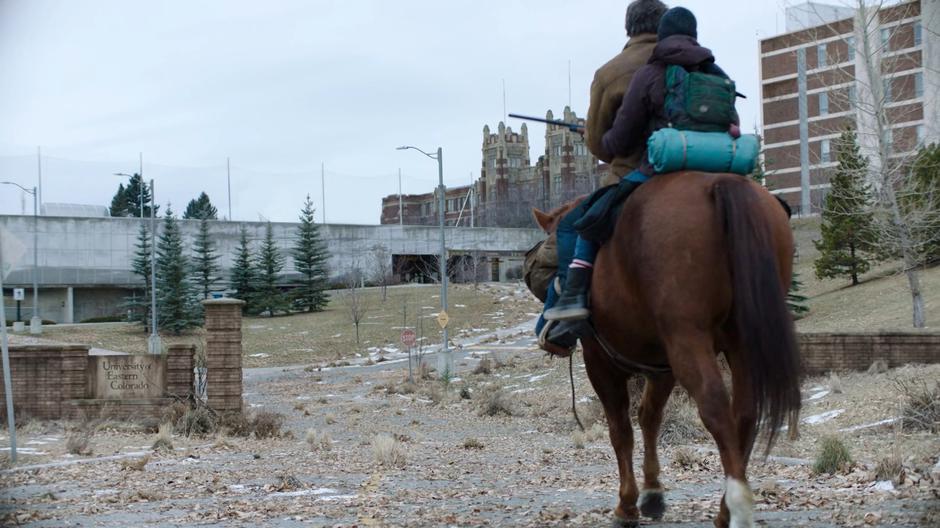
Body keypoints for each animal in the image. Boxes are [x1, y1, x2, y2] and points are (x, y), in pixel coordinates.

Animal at [536, 171, 800, 528]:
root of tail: (719, 183)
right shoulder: (661, 368)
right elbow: (650, 418)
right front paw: (652, 493)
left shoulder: (600, 363)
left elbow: (621, 430)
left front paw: (627, 505)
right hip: (740, 343)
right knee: (743, 414)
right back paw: (724, 509)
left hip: (688, 339)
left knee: (715, 406)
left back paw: (739, 506)